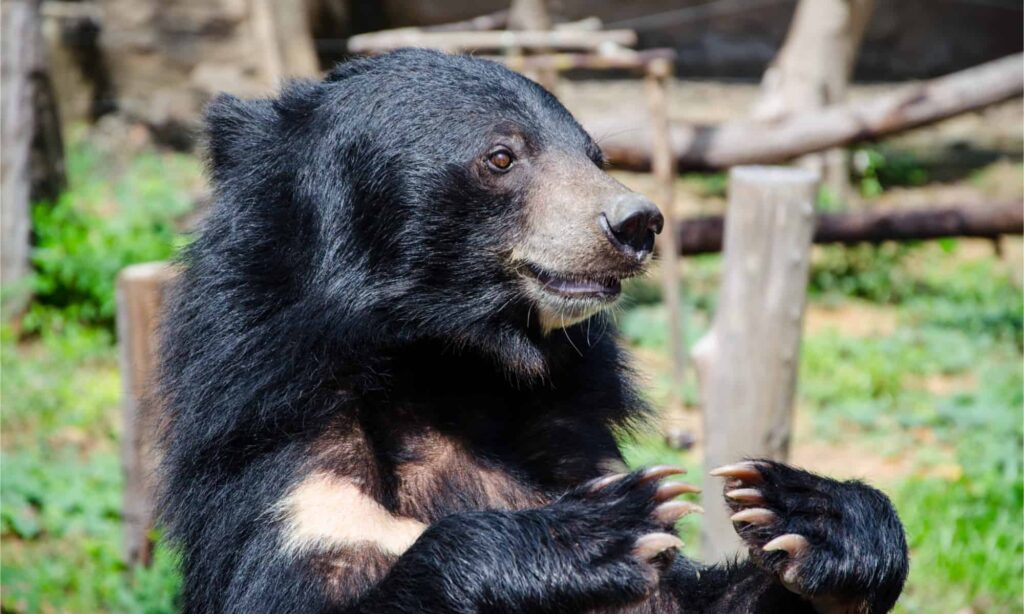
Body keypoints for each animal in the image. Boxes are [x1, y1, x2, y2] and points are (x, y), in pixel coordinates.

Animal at [155, 49, 909, 614]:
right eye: (501, 157)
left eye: (595, 155)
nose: (638, 224)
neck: (451, 368)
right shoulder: (296, 474)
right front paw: (592, 531)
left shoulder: (572, 441)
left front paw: (804, 513)